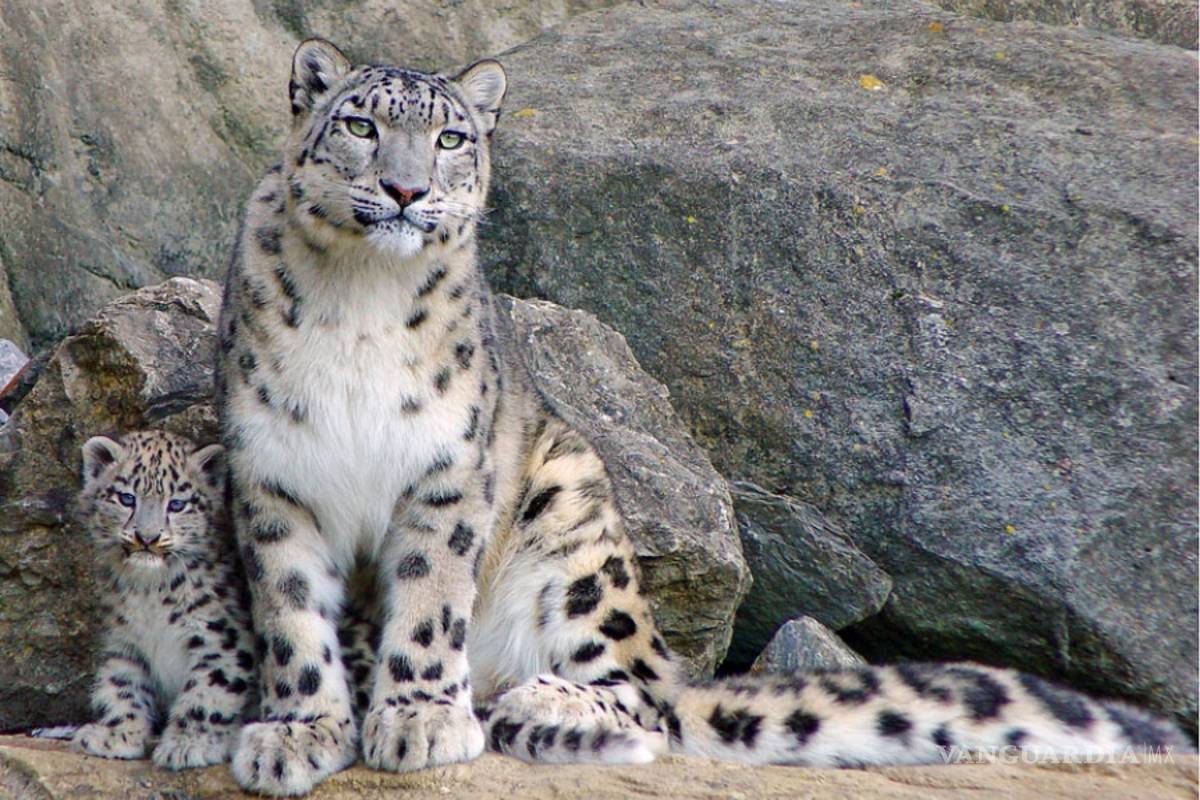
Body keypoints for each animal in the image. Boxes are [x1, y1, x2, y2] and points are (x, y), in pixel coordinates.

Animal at [71, 430, 257, 769]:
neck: (149, 592)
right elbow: (121, 685)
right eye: (126, 498)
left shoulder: (222, 639)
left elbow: (209, 691)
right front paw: (116, 734)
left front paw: (189, 744)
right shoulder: (124, 640)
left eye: (178, 504)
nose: (147, 537)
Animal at [214, 38, 1191, 796]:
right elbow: (291, 612)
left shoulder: (447, 474)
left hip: (575, 516)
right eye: (362, 126)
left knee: (647, 697)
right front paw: (296, 732)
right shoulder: (271, 472)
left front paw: (417, 719)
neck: (360, 301)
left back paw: (539, 701)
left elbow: (428, 600)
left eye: (451, 136)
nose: (406, 190)